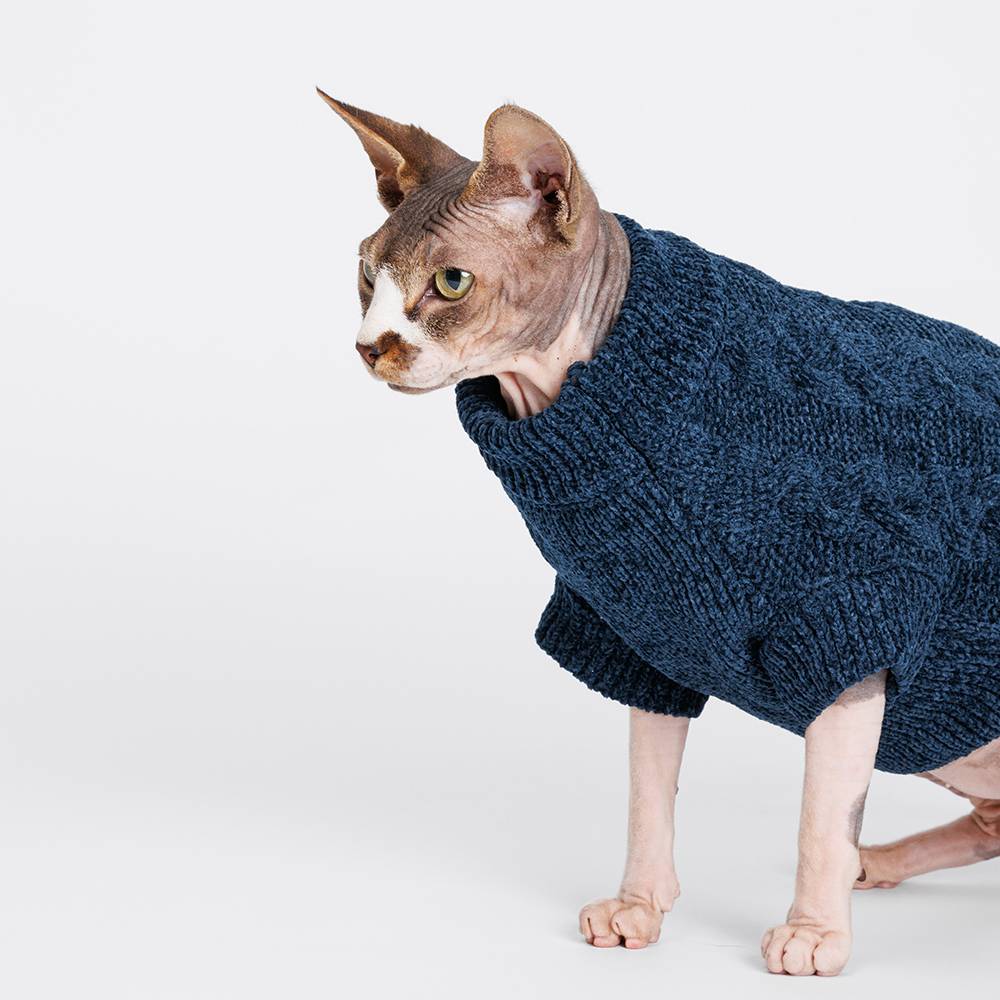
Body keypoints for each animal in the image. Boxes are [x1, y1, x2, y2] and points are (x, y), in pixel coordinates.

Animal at [319, 91, 1000, 976]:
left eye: (450, 282)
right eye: (367, 275)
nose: (370, 347)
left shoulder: (855, 612)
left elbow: (824, 810)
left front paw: (816, 932)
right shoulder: (640, 636)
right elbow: (648, 791)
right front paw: (640, 907)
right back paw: (874, 863)